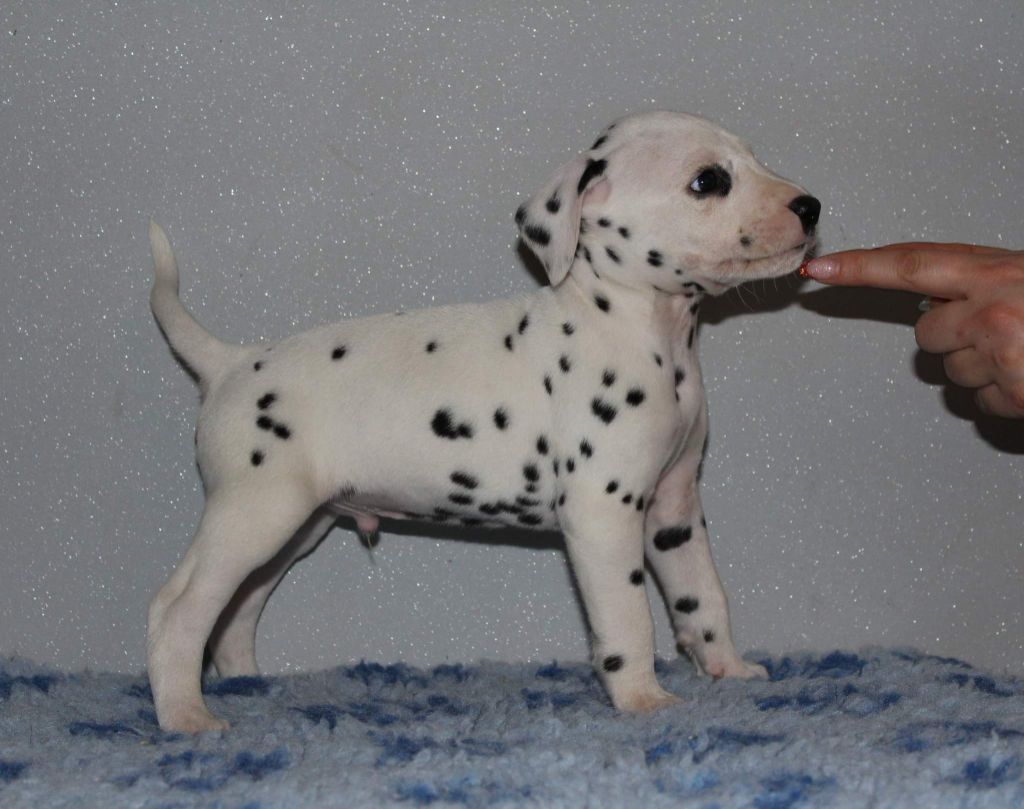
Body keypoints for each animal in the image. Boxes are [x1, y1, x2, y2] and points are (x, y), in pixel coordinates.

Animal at [146, 110, 820, 733]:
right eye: (708, 181)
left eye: (752, 159)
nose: (811, 207)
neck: (635, 326)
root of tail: (231, 363)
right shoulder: (603, 513)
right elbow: (629, 617)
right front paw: (642, 700)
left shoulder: (674, 509)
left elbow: (702, 596)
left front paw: (728, 669)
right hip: (255, 513)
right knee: (178, 611)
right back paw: (185, 716)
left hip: (296, 525)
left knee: (237, 608)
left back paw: (246, 685)